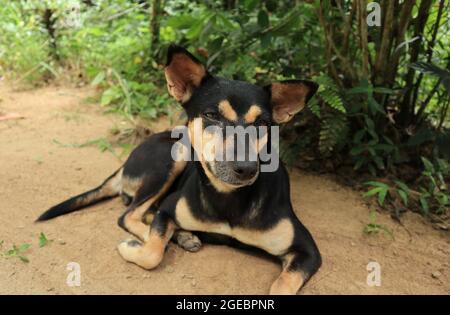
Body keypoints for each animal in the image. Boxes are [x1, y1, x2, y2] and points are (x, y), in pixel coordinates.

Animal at [37, 45, 322, 296]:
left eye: (262, 123)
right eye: (211, 115)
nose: (246, 169)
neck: (228, 198)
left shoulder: (307, 250)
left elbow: (282, 286)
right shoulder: (168, 208)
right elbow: (152, 252)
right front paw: (137, 246)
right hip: (174, 158)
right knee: (130, 215)